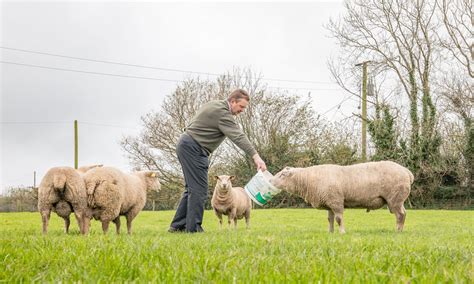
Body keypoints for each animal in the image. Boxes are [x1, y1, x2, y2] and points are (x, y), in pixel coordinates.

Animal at [270, 161, 414, 234]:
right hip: (398, 199)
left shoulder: (336, 201)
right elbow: (330, 219)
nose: (271, 181)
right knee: (404, 213)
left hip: (395, 198)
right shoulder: (329, 203)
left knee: (400, 215)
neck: (308, 180)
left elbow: (338, 218)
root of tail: (407, 172)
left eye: (282, 175)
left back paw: (398, 231)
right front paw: (330, 232)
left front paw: (342, 232)